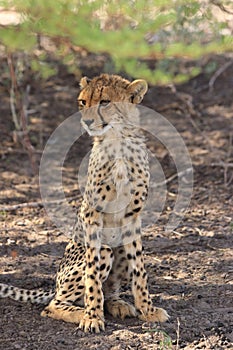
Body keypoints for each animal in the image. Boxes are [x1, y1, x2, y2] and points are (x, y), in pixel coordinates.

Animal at [0, 73, 168, 330]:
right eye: (82, 102)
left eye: (105, 102)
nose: (87, 122)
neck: (117, 141)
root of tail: (55, 286)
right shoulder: (92, 214)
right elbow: (92, 273)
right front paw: (92, 316)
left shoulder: (132, 216)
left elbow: (139, 269)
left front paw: (147, 310)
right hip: (102, 252)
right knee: (52, 305)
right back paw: (81, 312)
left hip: (118, 247)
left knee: (110, 289)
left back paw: (117, 305)